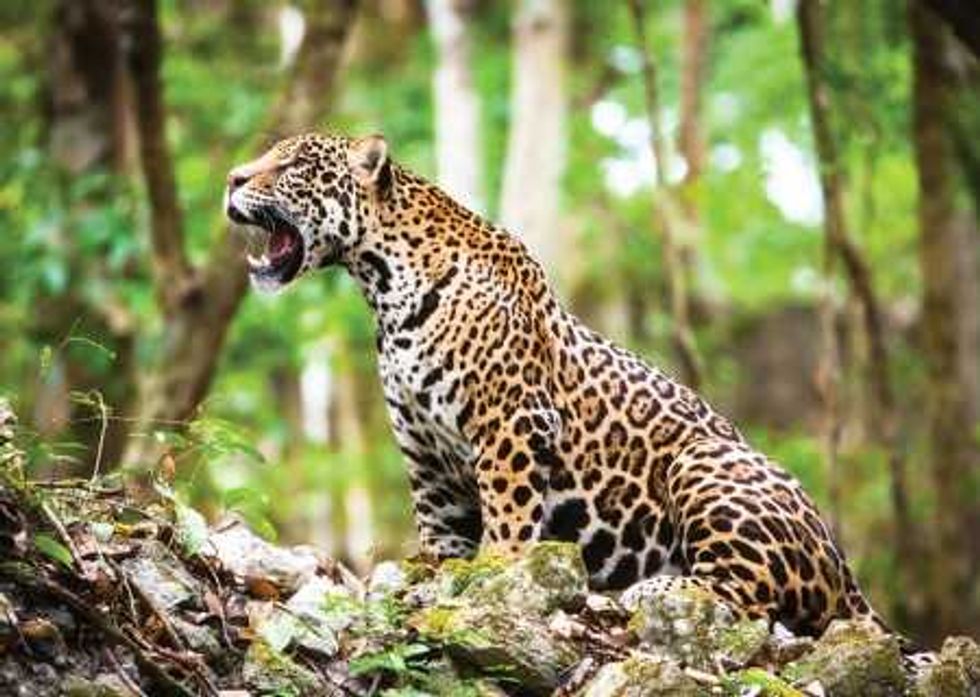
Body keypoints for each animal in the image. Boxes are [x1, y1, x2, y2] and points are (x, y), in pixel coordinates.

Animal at [224, 131, 903, 644]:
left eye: (290, 164)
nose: (231, 179)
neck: (382, 286)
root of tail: (846, 568)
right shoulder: (424, 453)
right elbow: (438, 529)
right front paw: (434, 574)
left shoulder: (510, 424)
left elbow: (507, 521)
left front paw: (493, 578)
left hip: (707, 463)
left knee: (754, 602)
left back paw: (650, 588)